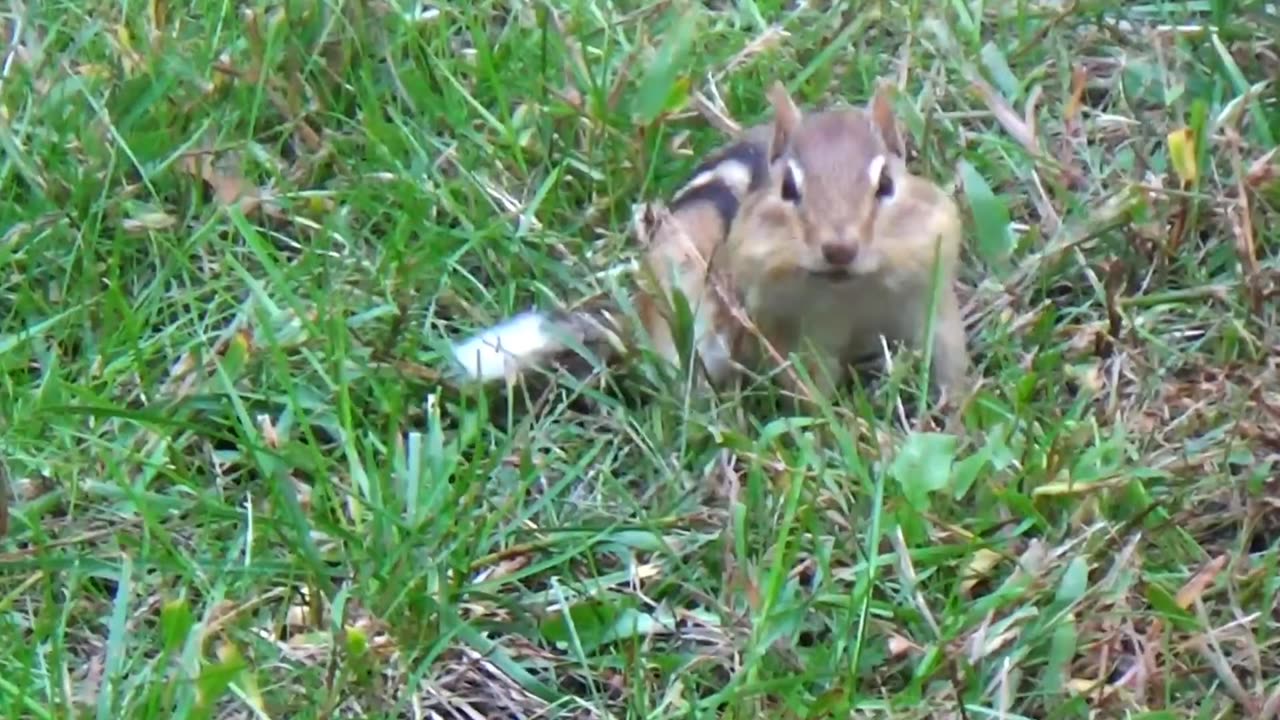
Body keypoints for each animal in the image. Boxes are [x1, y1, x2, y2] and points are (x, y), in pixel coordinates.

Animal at [446, 80, 970, 403]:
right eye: (788, 188)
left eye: (886, 184)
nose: (838, 249)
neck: (852, 293)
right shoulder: (796, 335)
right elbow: (810, 392)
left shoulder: (932, 299)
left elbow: (949, 364)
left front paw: (955, 416)